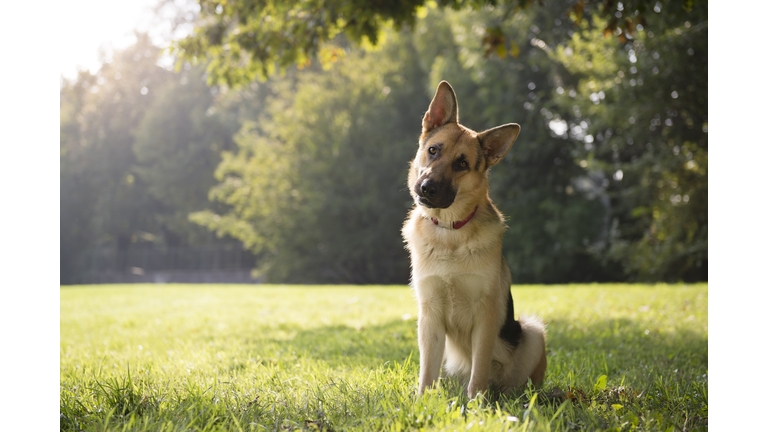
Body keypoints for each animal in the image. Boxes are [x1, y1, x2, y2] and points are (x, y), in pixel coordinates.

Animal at [402, 81, 544, 398]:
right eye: (433, 150)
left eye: (462, 164)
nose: (426, 188)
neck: (450, 231)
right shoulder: (429, 316)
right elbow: (426, 372)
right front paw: (422, 401)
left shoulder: (486, 316)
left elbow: (479, 368)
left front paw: (477, 402)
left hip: (533, 331)